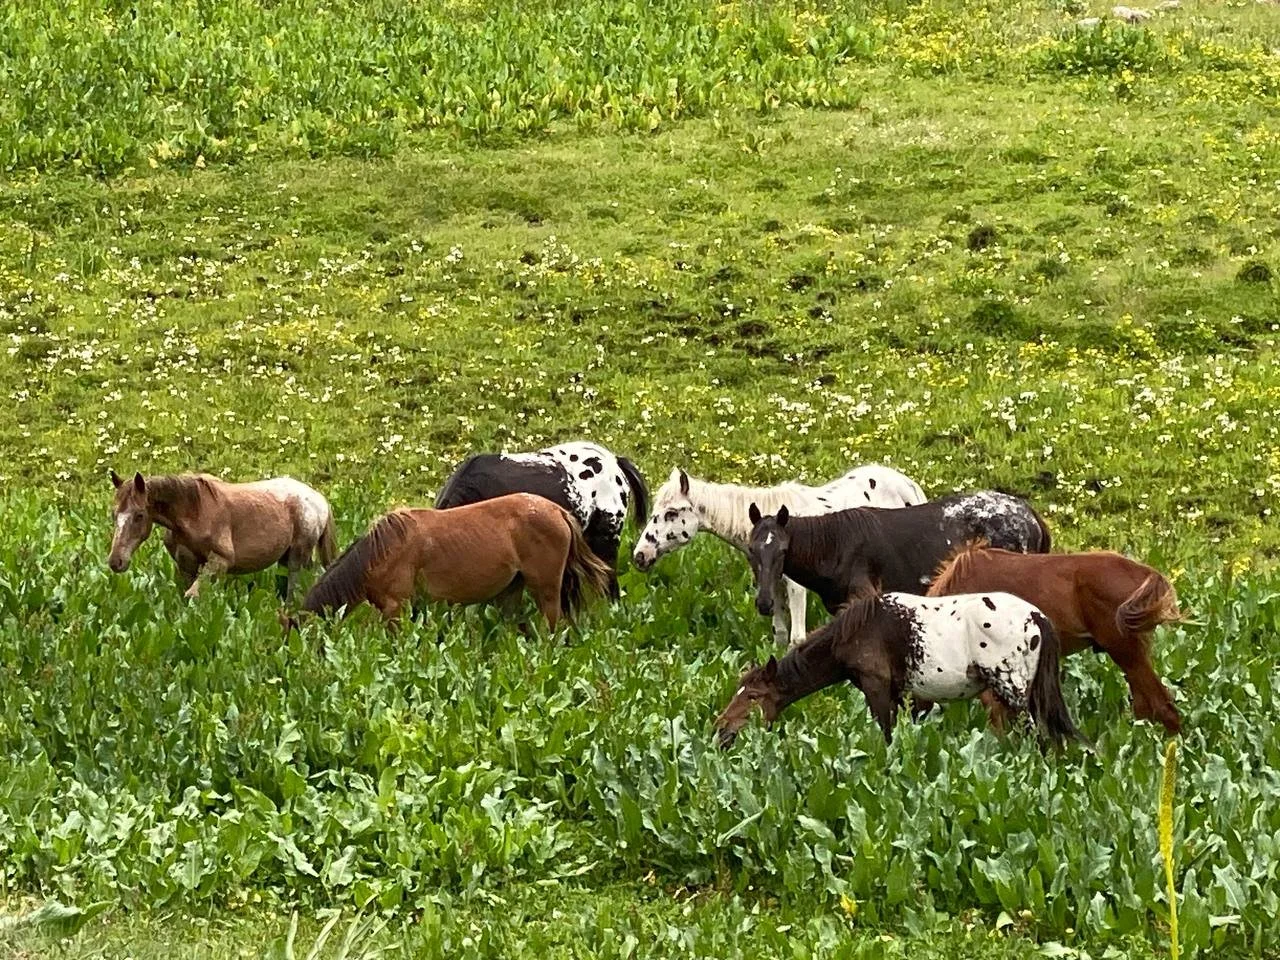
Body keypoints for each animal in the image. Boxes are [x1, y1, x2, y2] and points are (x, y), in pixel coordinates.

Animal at [107, 470, 336, 600]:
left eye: (139, 515)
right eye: (114, 514)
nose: (116, 562)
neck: (194, 511)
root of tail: (320, 499)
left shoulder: (220, 561)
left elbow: (193, 595)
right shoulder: (186, 564)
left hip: (298, 556)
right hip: (286, 558)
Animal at [632, 465, 927, 644]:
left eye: (672, 513)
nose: (639, 556)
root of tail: (907, 483)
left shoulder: (796, 587)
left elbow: (797, 638)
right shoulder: (771, 584)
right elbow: (781, 633)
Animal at [714, 591, 1082, 750]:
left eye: (754, 696)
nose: (720, 729)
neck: (858, 631)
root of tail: (1037, 617)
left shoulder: (877, 690)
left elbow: (887, 736)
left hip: (1016, 695)